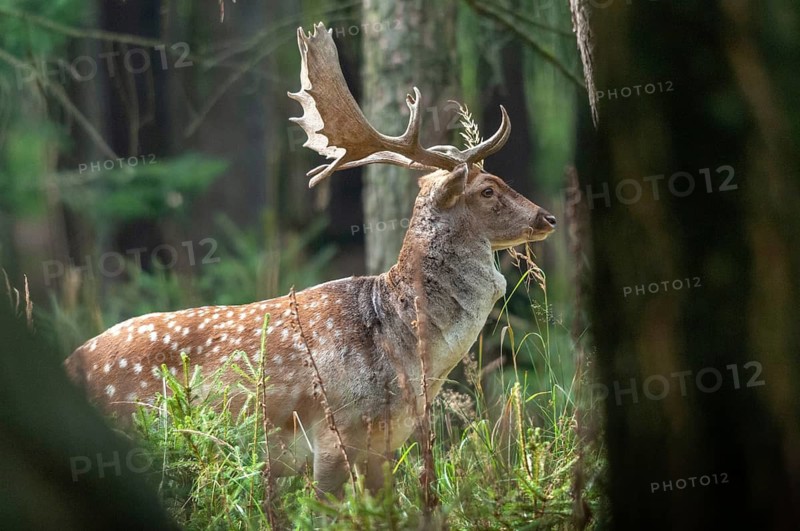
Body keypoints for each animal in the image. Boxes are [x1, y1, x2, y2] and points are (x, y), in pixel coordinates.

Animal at [64, 22, 556, 496]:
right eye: (487, 189)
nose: (546, 216)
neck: (408, 355)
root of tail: (68, 362)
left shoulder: (385, 444)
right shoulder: (337, 432)